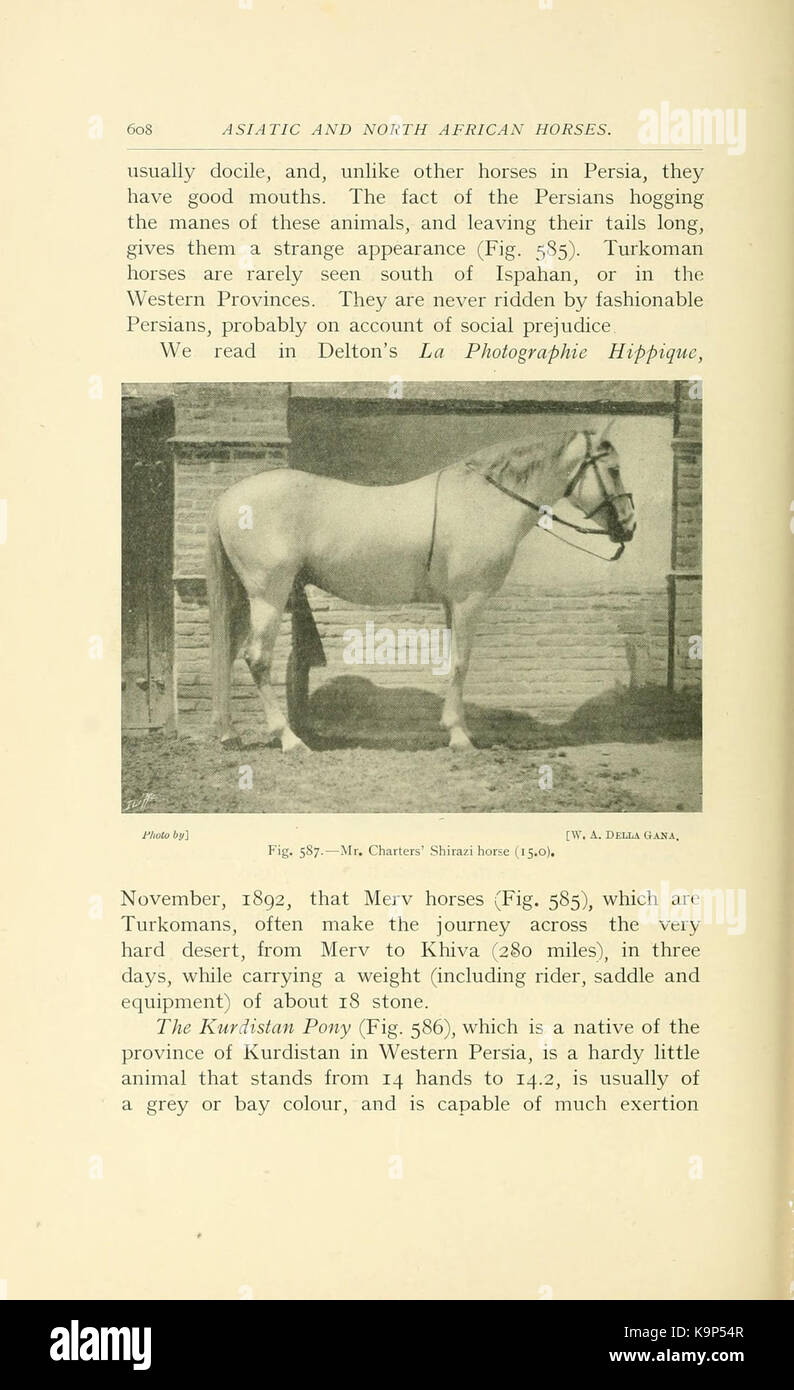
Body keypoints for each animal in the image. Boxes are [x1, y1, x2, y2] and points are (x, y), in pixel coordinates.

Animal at [205, 419, 636, 752]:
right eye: (614, 470)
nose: (629, 526)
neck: (483, 500)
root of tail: (227, 499)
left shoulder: (451, 603)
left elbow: (451, 661)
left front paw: (452, 726)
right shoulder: (468, 600)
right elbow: (462, 662)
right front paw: (460, 736)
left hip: (246, 596)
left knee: (227, 653)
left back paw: (229, 733)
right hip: (268, 594)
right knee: (257, 658)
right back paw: (289, 739)